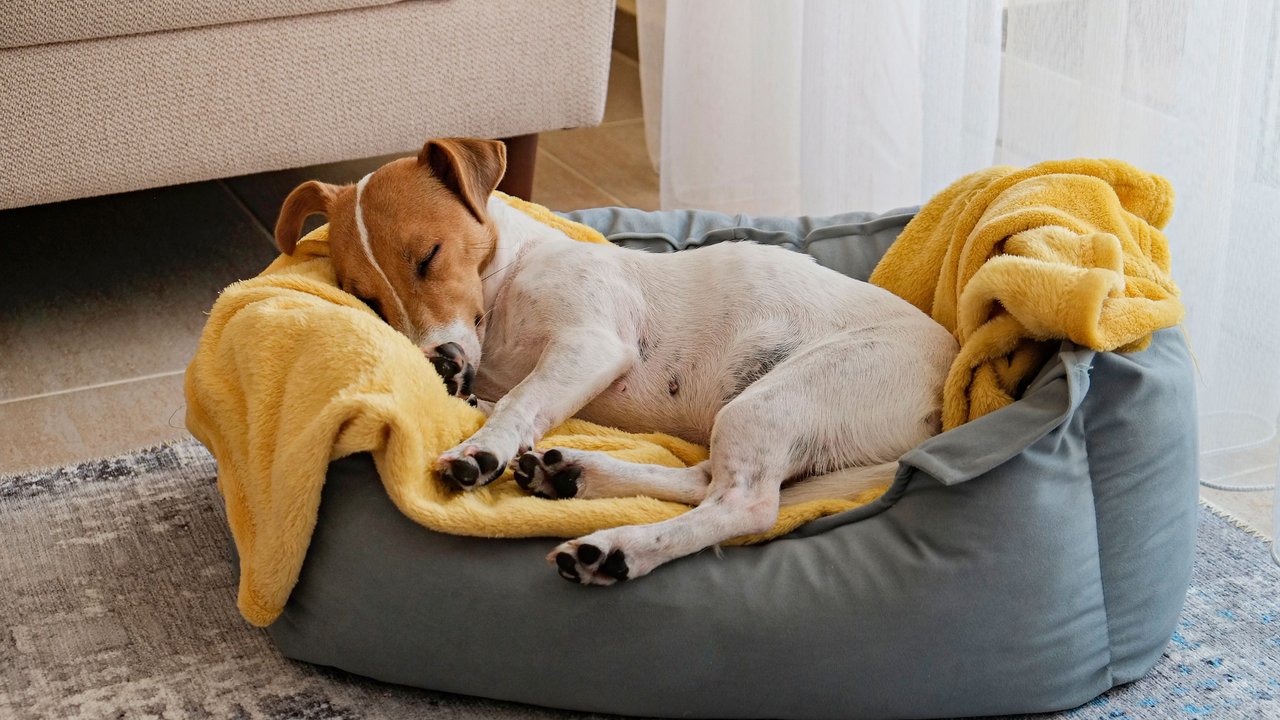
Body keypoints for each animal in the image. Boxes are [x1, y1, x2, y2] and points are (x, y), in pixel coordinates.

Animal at [275, 135, 957, 584]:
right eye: (365, 298)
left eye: (429, 256)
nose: (438, 362)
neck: (508, 282)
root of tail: (943, 406)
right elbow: (505, 400)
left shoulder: (591, 343)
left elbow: (520, 401)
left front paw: (482, 450)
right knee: (704, 480)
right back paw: (575, 473)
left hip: (776, 400)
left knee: (743, 505)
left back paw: (615, 548)